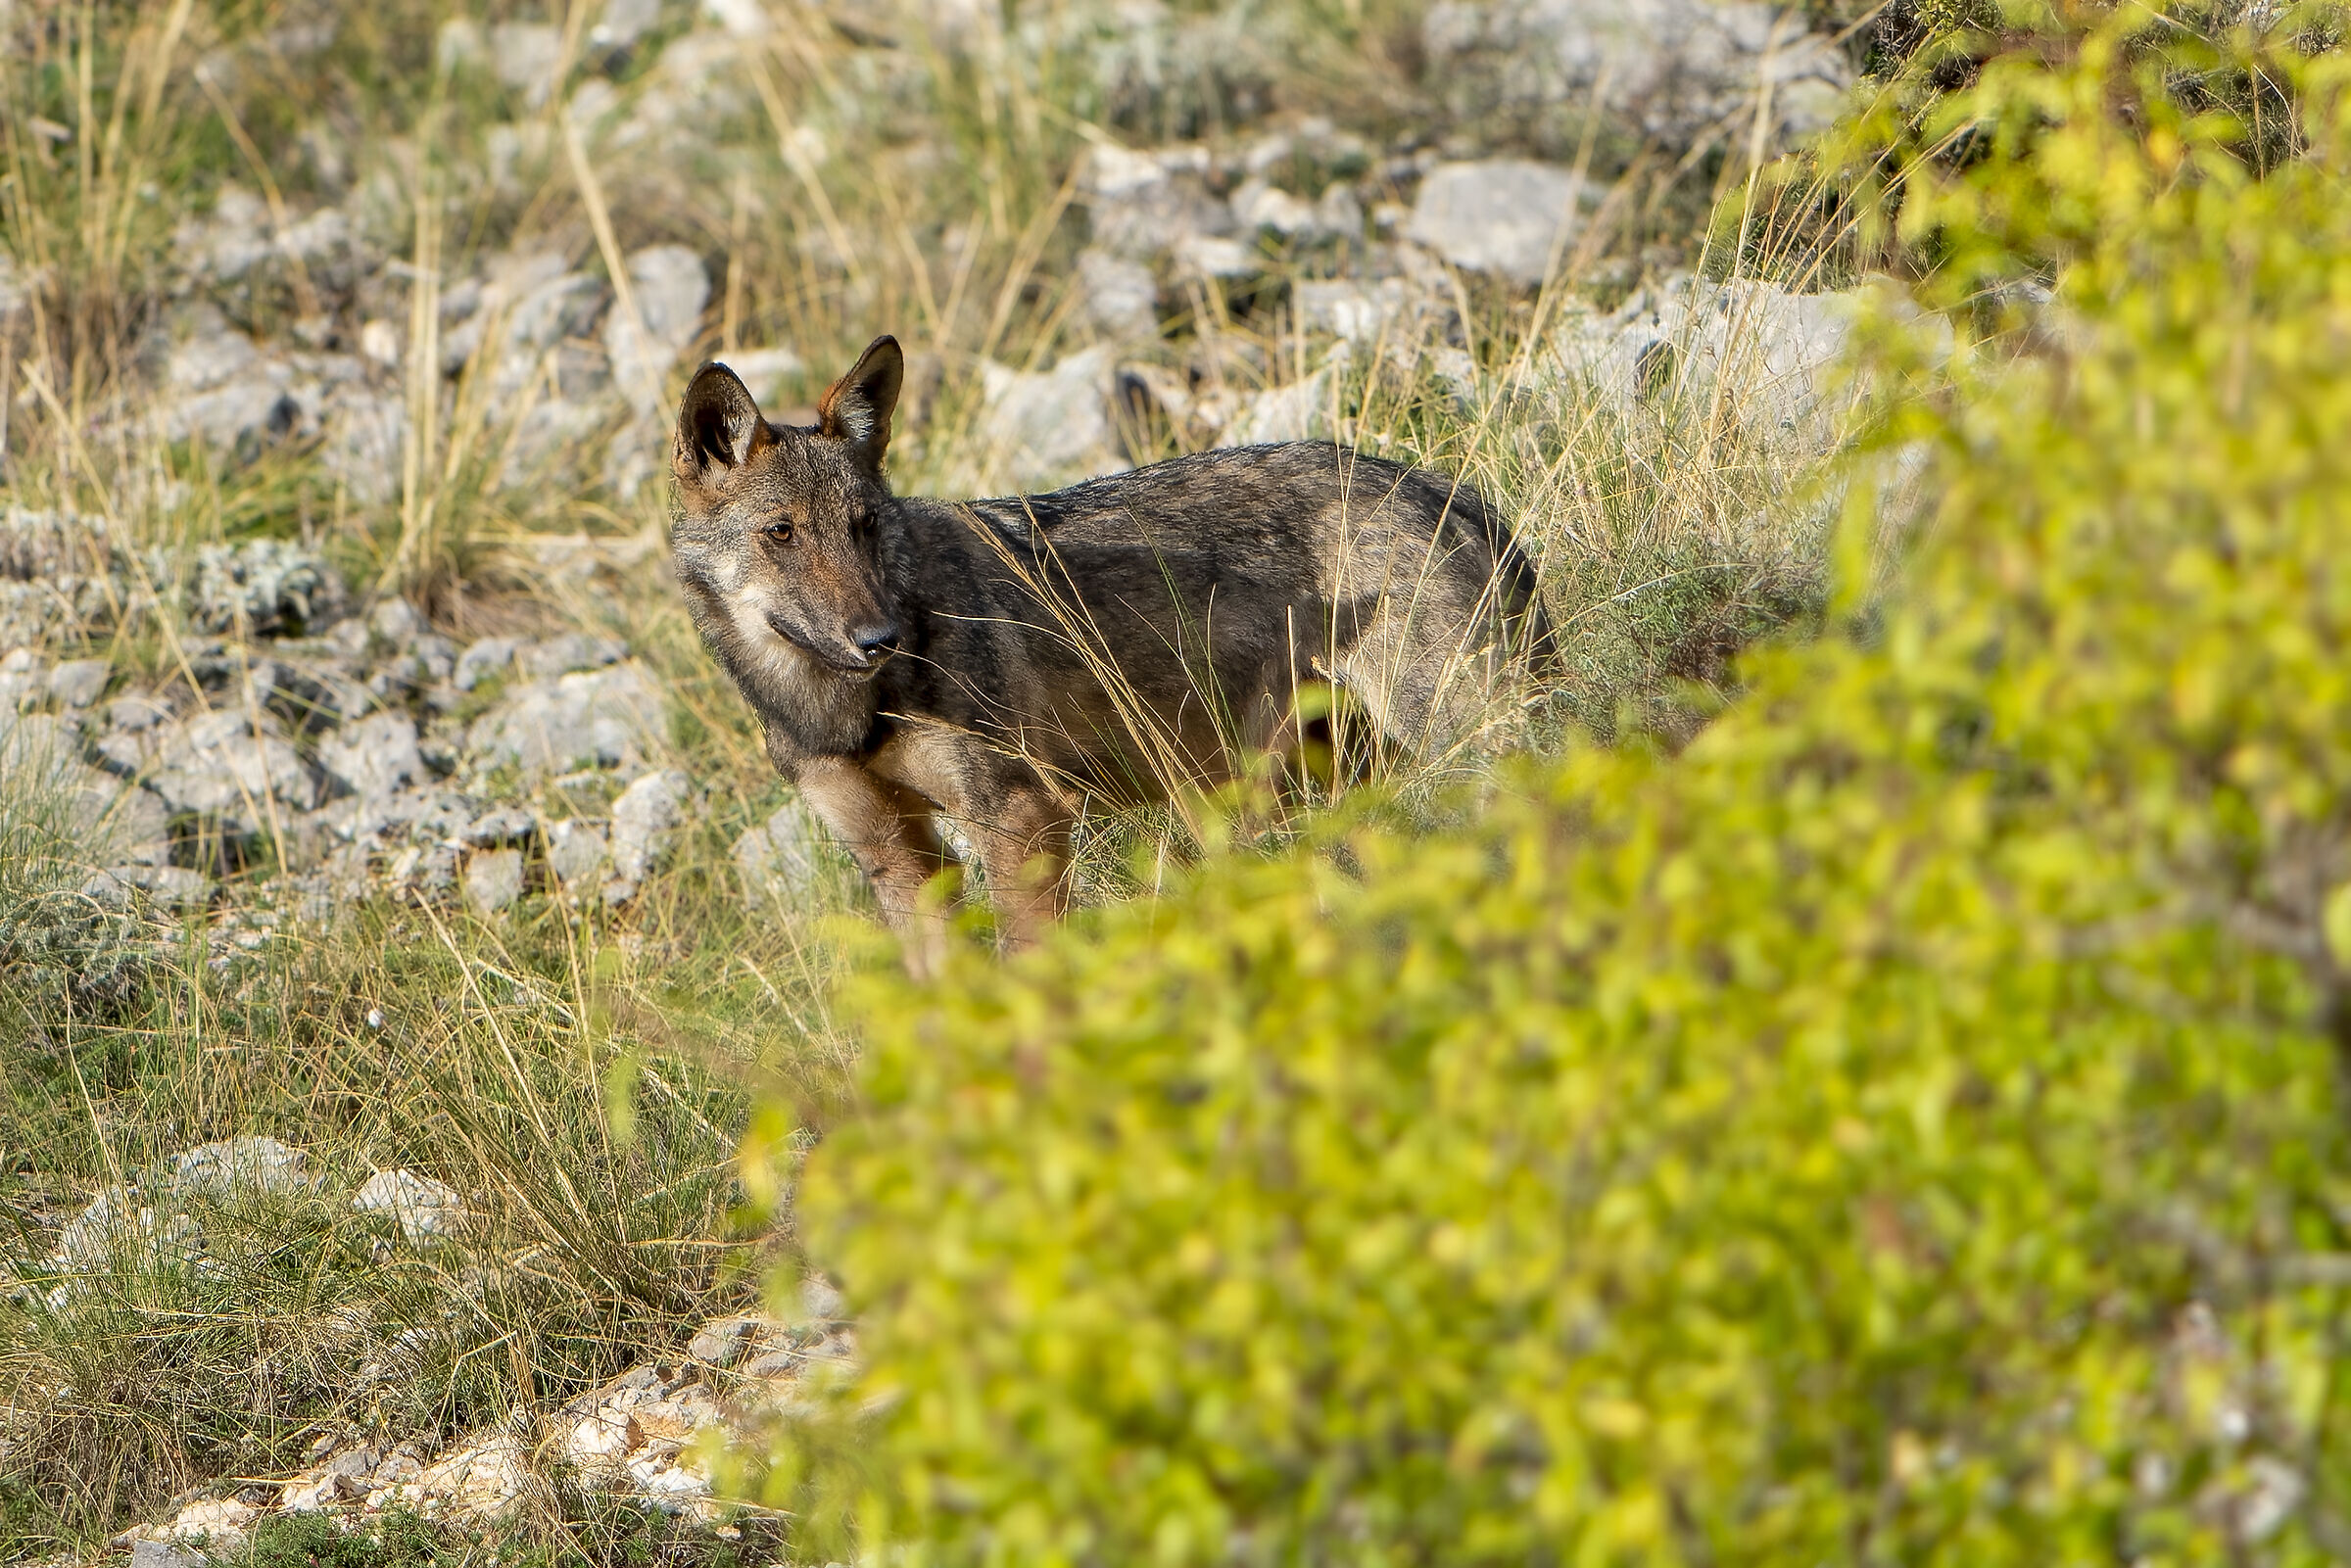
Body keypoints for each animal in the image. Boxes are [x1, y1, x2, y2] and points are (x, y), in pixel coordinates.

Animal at [671, 335, 1550, 967]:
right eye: (782, 532)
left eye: (866, 526)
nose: (878, 637)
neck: (844, 712)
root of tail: (1447, 489)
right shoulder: (896, 856)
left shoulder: (1022, 817)